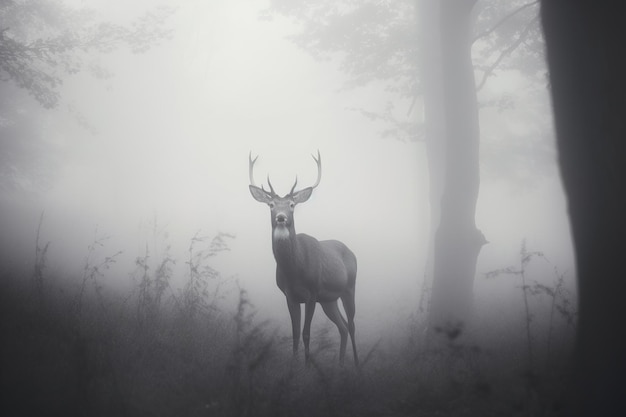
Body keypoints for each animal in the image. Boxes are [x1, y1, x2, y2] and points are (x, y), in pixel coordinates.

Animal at [247, 151, 358, 366]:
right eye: (271, 205)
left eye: (292, 205)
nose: (281, 217)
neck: (295, 271)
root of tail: (352, 252)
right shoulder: (290, 295)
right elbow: (295, 334)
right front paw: (294, 366)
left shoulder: (312, 292)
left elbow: (306, 334)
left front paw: (307, 367)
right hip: (329, 300)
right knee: (342, 327)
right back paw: (340, 365)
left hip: (349, 288)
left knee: (352, 325)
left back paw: (357, 366)